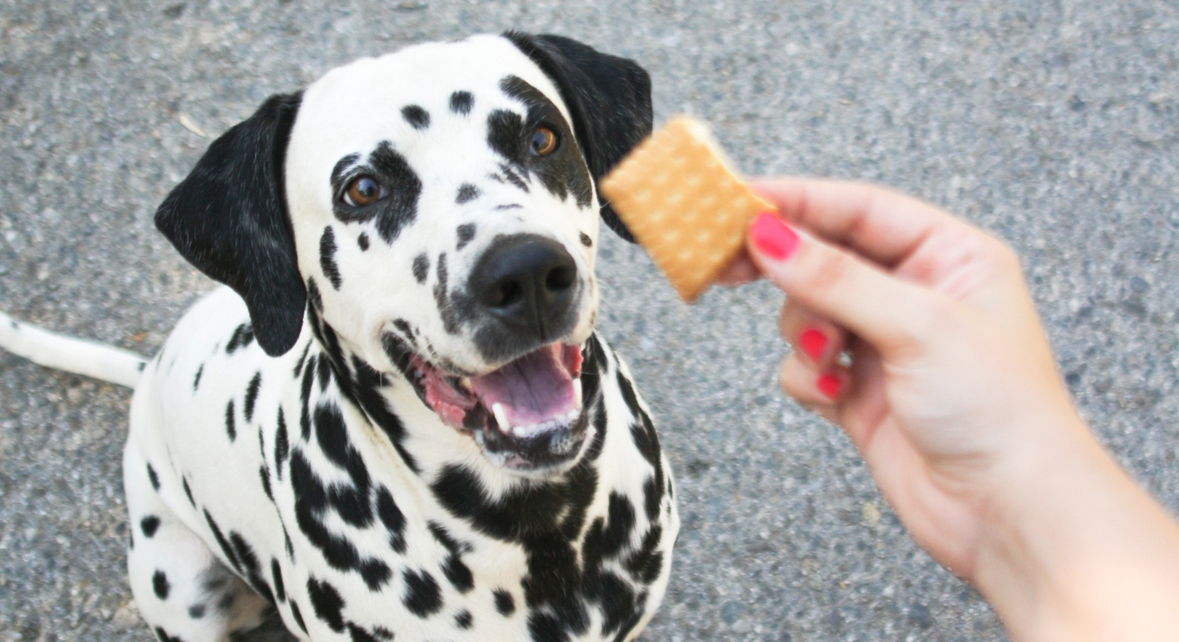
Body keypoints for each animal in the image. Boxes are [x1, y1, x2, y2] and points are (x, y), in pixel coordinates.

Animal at [0, 33, 679, 640]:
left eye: (542, 138)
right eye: (364, 189)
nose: (527, 273)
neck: (534, 528)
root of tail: (150, 371)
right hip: (183, 584)